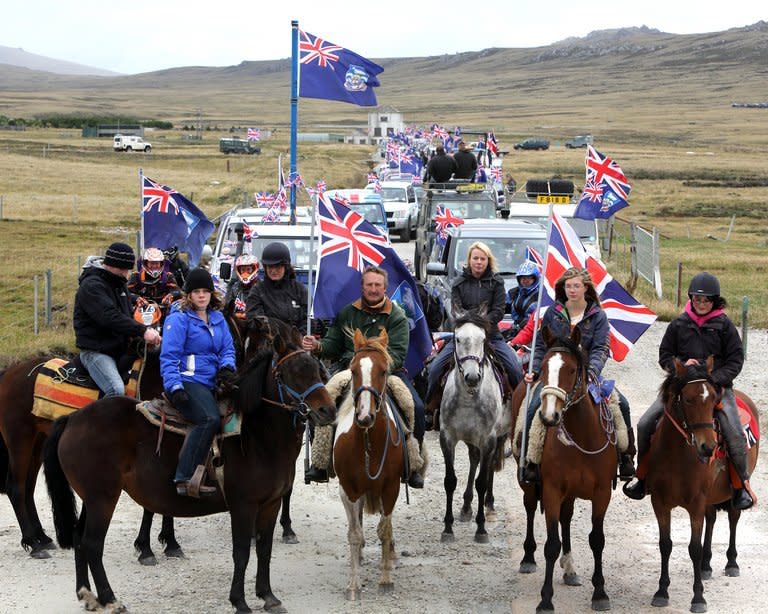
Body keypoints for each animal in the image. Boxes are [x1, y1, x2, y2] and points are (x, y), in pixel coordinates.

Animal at [43, 322, 334, 614]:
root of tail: (73, 419)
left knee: (78, 537)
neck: (256, 435)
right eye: (289, 374)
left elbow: (264, 549)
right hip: (102, 498)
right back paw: (109, 598)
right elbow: (241, 552)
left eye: (318, 370)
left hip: (91, 498)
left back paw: (86, 594)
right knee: (92, 543)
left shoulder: (270, 504)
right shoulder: (243, 505)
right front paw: (239, 601)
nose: (327, 410)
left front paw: (267, 596)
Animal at [336, 330, 408, 604]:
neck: (369, 444)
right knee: (354, 522)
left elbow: (385, 530)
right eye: (353, 369)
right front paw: (354, 584)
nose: (364, 416)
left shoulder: (391, 488)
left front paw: (386, 579)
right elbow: (354, 534)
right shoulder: (350, 489)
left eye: (384, 370)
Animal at [438, 310, 510, 548]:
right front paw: (448, 528)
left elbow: (481, 482)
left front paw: (481, 529)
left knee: (488, 468)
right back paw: (466, 507)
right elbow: (450, 481)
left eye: (483, 340)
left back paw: (489, 506)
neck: (469, 398)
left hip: (498, 436)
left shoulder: (488, 439)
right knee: (474, 460)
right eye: (457, 339)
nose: (472, 377)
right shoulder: (447, 437)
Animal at [510, 328, 624, 612]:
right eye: (543, 367)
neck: (581, 435)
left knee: (567, 517)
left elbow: (597, 539)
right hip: (530, 483)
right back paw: (528, 557)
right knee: (530, 507)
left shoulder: (602, 493)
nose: (549, 416)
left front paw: (600, 593)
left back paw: (570, 568)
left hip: (571, 492)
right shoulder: (551, 490)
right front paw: (545, 599)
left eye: (572, 369)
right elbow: (552, 544)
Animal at [640, 360, 760, 614]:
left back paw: (731, 563)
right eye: (687, 399)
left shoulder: (695, 504)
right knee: (712, 518)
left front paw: (698, 598)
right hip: (710, 497)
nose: (709, 446)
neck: (677, 456)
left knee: (733, 516)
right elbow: (665, 544)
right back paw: (706, 565)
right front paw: (661, 591)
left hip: (732, 491)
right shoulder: (660, 502)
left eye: (714, 398)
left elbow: (693, 548)